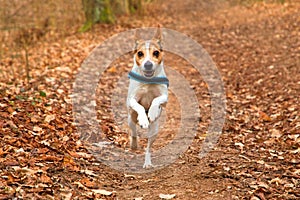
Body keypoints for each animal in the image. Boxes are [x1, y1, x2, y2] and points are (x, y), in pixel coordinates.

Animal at [126, 26, 169, 167]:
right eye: (140, 53)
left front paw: (152, 112)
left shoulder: (165, 97)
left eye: (156, 53)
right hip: (130, 119)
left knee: (148, 148)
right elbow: (138, 106)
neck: (148, 80)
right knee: (134, 132)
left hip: (154, 131)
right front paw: (144, 119)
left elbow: (156, 99)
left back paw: (147, 162)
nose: (148, 64)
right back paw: (134, 144)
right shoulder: (132, 100)